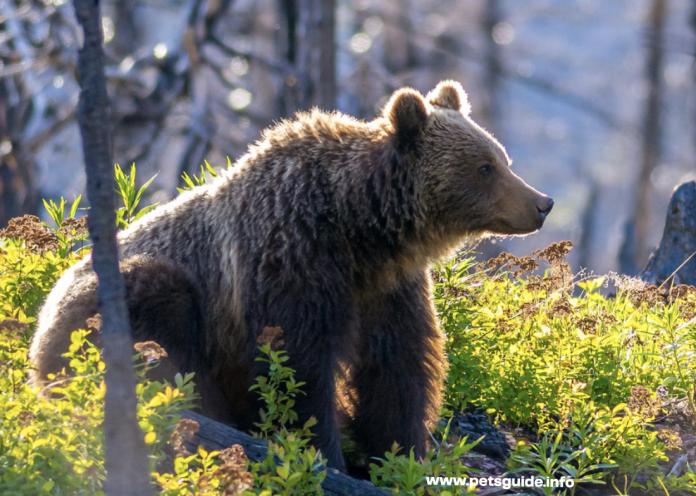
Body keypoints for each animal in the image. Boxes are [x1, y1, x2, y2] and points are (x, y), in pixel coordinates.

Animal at [28, 81, 556, 472]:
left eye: (501, 158)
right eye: (485, 167)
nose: (542, 203)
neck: (359, 227)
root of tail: (36, 332)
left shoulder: (387, 287)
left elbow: (397, 366)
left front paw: (401, 457)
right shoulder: (290, 261)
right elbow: (295, 367)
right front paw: (326, 455)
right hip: (121, 301)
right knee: (161, 331)